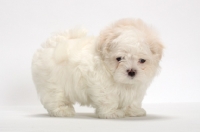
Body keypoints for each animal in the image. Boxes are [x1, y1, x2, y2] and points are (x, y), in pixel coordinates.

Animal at [30, 18, 162, 118]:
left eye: (142, 60)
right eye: (119, 58)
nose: (131, 71)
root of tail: (52, 44)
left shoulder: (136, 88)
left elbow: (133, 100)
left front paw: (133, 111)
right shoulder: (102, 85)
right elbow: (108, 99)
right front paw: (111, 113)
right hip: (52, 82)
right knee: (55, 97)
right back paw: (62, 110)